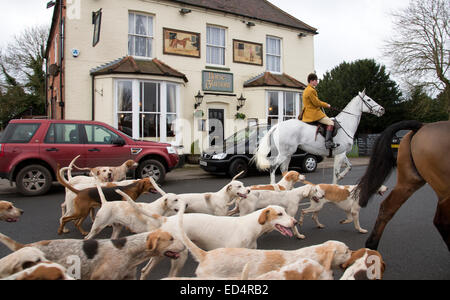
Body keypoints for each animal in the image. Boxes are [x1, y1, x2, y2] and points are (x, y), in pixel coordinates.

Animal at [255, 90, 384, 184]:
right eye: (368, 99)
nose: (382, 109)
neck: (346, 124)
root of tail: (278, 126)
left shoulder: (342, 153)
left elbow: (349, 167)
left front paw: (340, 179)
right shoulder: (340, 154)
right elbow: (336, 173)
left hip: (288, 154)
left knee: (284, 170)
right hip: (284, 153)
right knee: (273, 167)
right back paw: (275, 187)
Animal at [356, 120, 448, 251]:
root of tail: (422, 126)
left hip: (409, 182)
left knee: (387, 208)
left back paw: (371, 245)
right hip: (443, 188)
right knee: (441, 221)